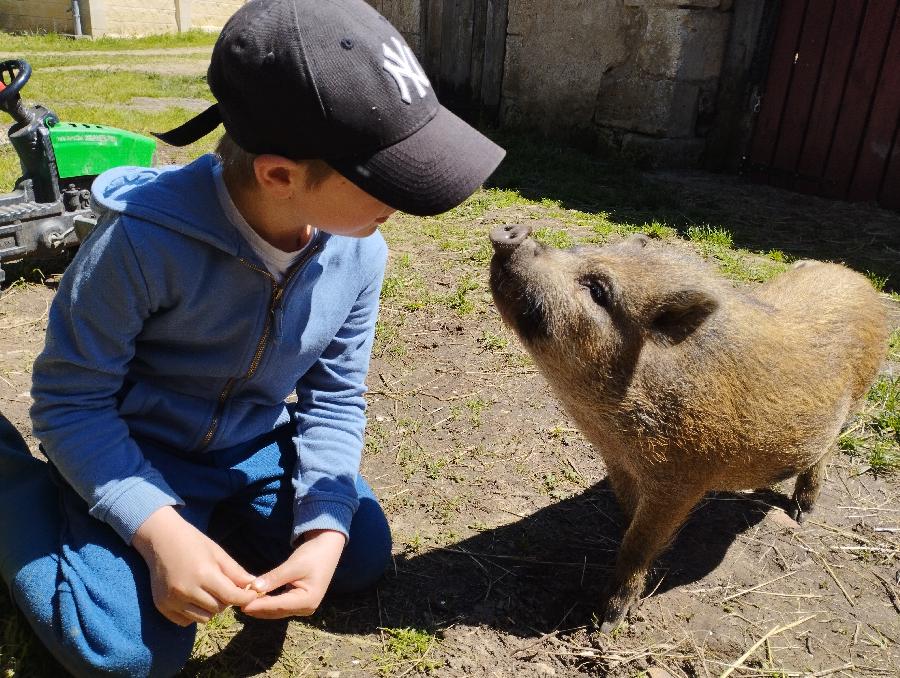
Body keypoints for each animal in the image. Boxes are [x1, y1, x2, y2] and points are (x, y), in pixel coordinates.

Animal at [488, 226, 888, 636]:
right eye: (575, 249)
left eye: (598, 290)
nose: (513, 232)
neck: (607, 427)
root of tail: (856, 277)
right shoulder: (618, 464)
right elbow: (629, 514)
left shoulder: (681, 480)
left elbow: (638, 544)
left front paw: (605, 624)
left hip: (856, 400)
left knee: (824, 455)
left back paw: (800, 515)